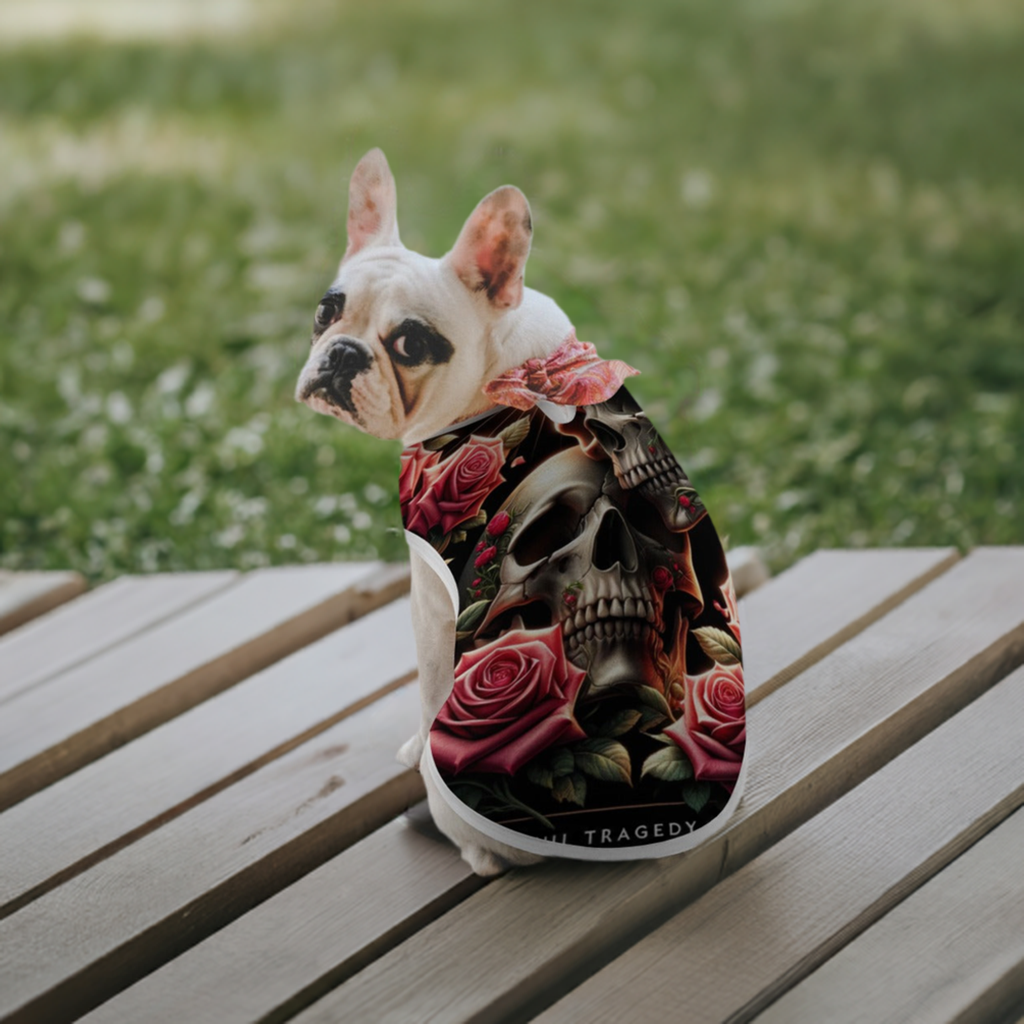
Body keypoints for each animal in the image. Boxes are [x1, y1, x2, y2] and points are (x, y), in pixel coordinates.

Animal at [292, 148, 749, 876]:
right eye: (324, 312)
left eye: (411, 345)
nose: (342, 353)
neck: (509, 373)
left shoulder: (430, 592)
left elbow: (427, 682)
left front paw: (414, 743)